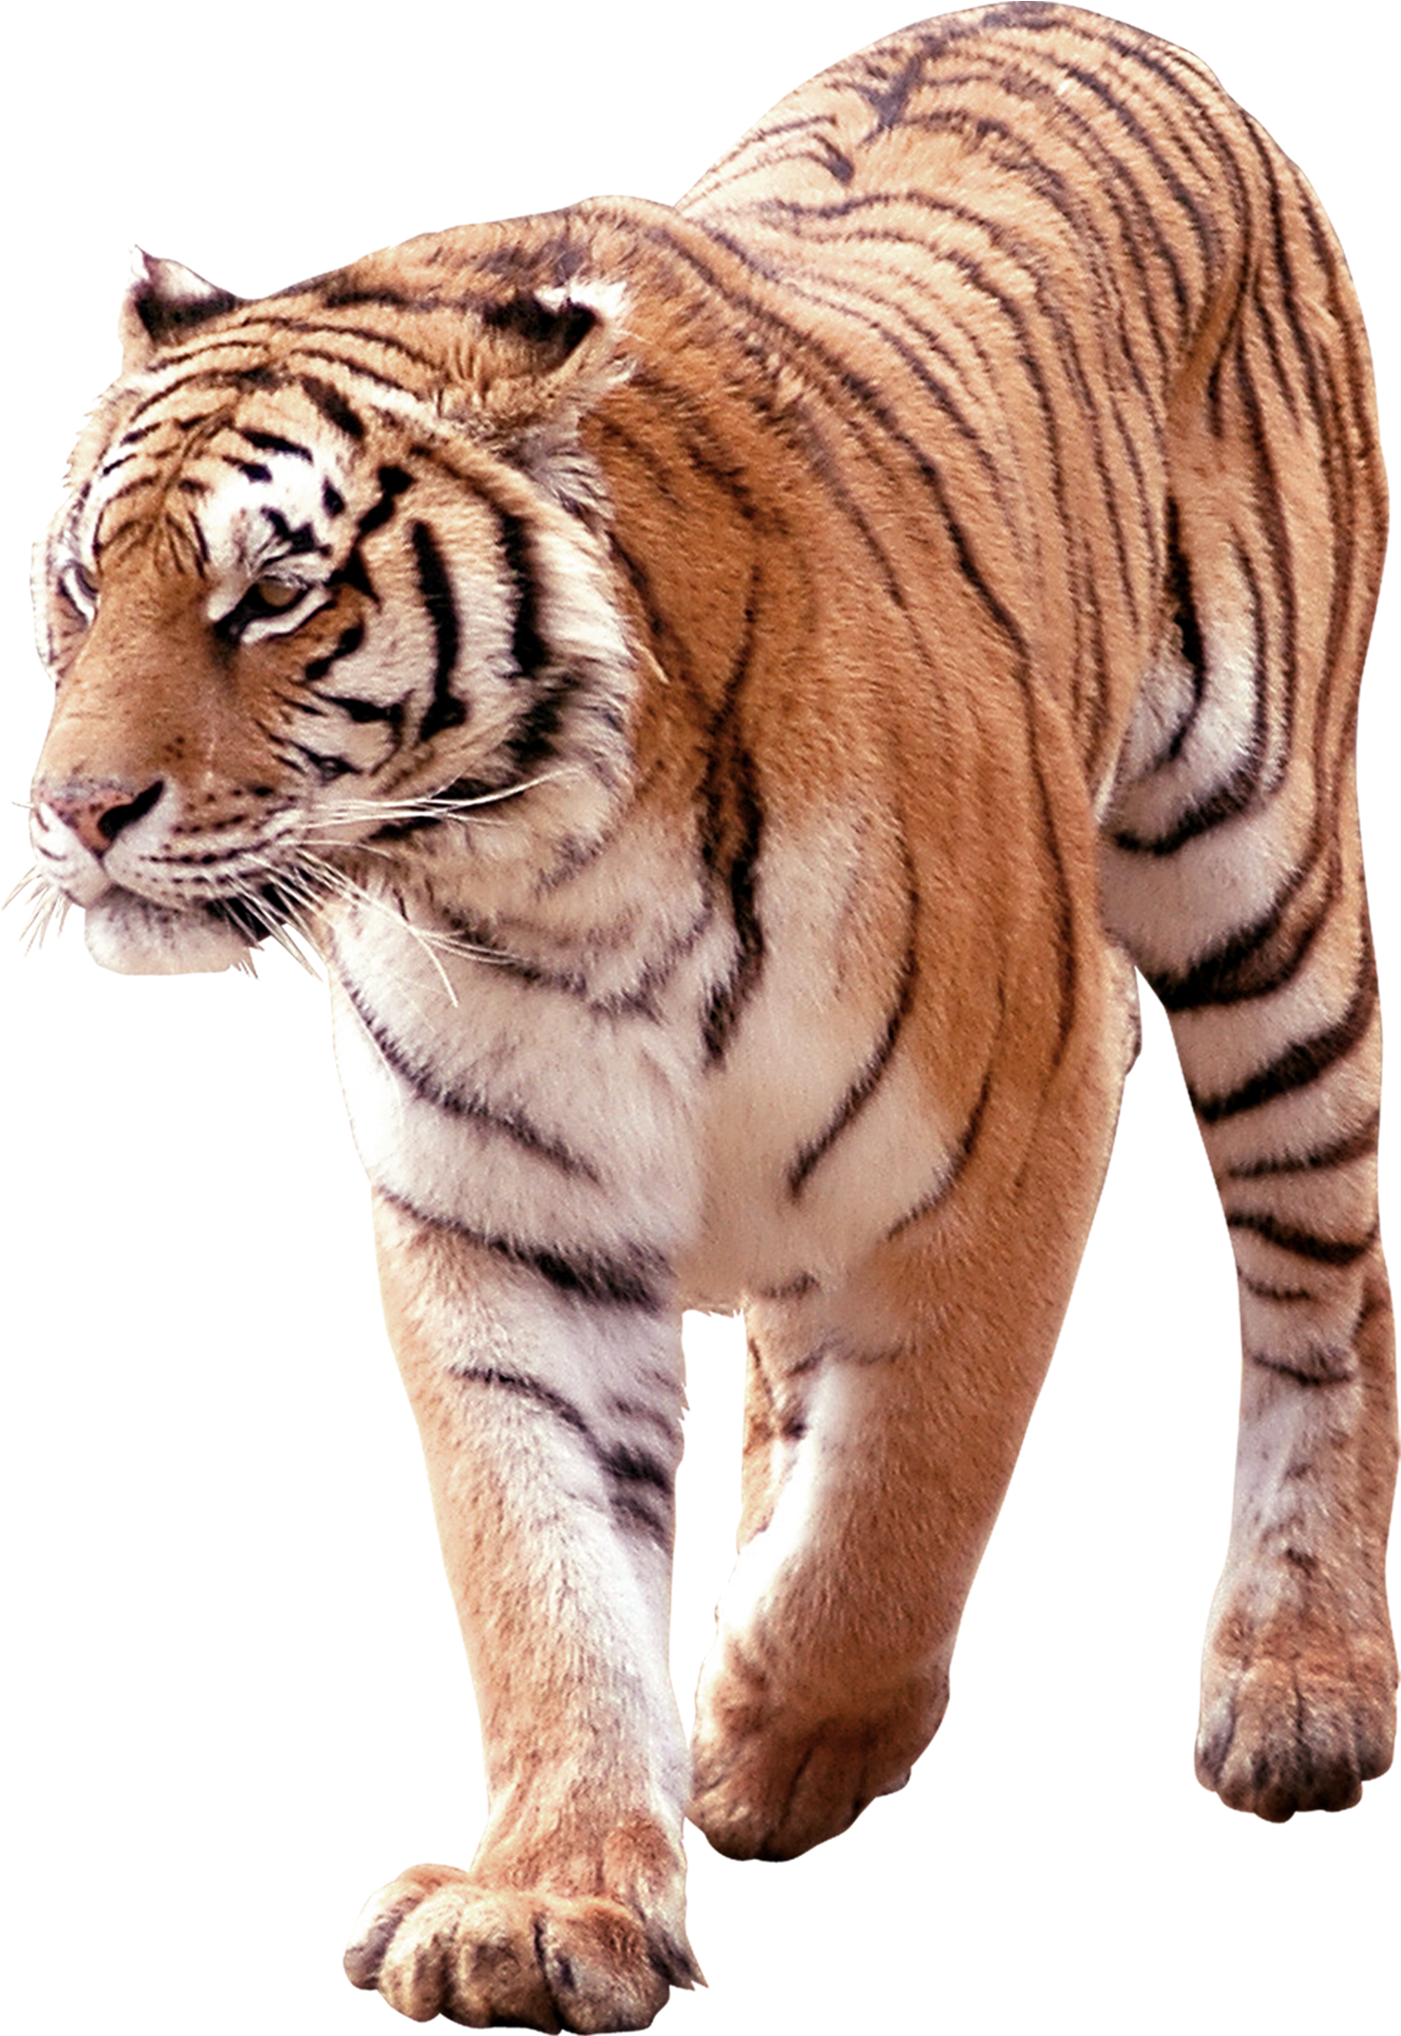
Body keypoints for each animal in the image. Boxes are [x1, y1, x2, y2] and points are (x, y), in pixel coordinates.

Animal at [15, 1, 1396, 2027]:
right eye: (78, 580)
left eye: (271, 594)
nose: (77, 814)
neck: (542, 879)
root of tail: (1102, 19)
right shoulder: (500, 1224)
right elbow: (541, 1577)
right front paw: (546, 1903)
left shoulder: (1025, 1116)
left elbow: (909, 1489)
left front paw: (777, 1734)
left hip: (1257, 882)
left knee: (1326, 1286)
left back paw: (1301, 1685)